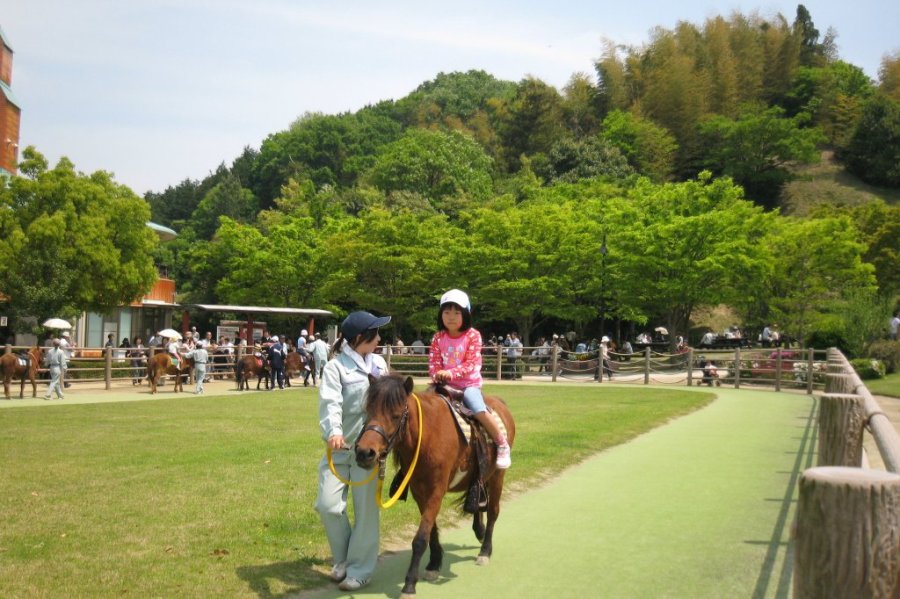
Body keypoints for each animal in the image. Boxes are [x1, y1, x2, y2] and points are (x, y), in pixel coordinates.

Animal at [356, 372, 516, 596]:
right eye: (368, 411)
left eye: (396, 415)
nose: (364, 453)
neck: (427, 436)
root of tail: (500, 404)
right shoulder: (419, 492)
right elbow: (430, 529)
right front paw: (434, 562)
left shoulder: (436, 491)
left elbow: (420, 538)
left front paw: (409, 584)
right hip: (482, 476)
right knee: (479, 500)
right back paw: (479, 531)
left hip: (498, 476)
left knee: (493, 511)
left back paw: (485, 550)